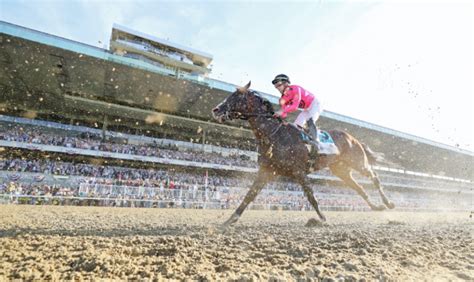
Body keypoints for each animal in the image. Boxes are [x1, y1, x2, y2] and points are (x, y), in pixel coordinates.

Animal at [213, 80, 394, 226]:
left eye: (235, 97)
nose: (216, 110)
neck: (274, 135)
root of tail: (353, 138)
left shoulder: (298, 171)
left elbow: (311, 196)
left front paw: (322, 219)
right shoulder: (266, 171)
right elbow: (249, 195)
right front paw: (230, 219)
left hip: (357, 161)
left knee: (374, 176)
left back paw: (389, 203)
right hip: (341, 170)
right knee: (359, 188)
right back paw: (377, 207)